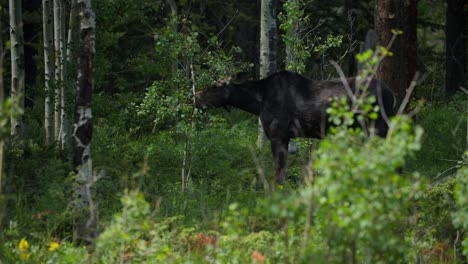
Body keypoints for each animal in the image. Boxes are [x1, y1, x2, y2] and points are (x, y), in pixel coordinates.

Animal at [194, 71, 394, 185]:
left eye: (215, 86)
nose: (195, 97)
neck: (257, 102)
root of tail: (392, 94)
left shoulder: (278, 134)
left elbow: (279, 174)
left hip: (378, 128)